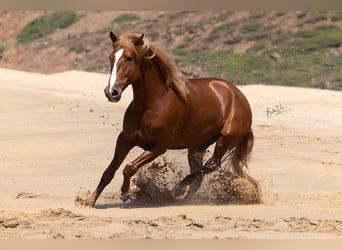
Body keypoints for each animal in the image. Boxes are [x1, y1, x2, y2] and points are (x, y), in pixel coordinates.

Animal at [87, 31, 260, 207]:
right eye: (111, 57)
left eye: (129, 58)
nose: (112, 92)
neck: (151, 104)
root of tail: (240, 97)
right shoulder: (125, 139)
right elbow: (109, 171)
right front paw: (90, 200)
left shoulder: (159, 147)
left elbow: (129, 167)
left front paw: (127, 192)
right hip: (197, 146)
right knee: (200, 173)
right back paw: (184, 197)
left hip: (224, 140)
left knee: (211, 165)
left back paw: (178, 188)